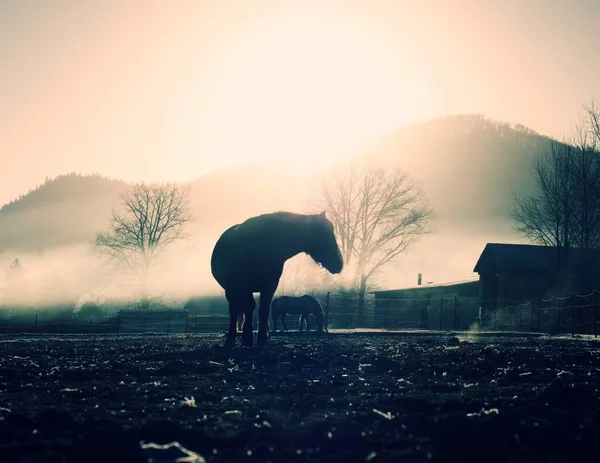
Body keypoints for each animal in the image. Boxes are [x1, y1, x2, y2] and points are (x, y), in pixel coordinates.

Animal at [211, 212, 342, 346]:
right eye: (323, 234)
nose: (339, 263)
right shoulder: (239, 288)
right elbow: (243, 309)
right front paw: (243, 338)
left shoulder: (269, 287)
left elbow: (263, 310)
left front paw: (261, 338)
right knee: (237, 309)